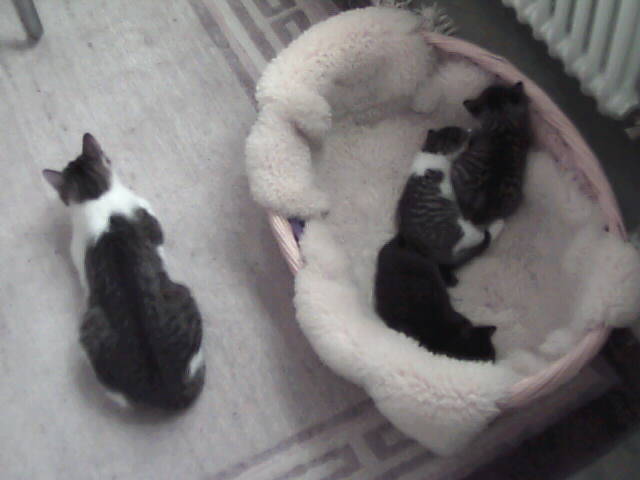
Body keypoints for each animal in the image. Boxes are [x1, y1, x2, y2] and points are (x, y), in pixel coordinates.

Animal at [397, 126, 504, 286]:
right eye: (461, 136)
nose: (469, 130)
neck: (431, 151)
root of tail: (435, 256)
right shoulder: (449, 184)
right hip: (460, 230)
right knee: (480, 237)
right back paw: (498, 225)